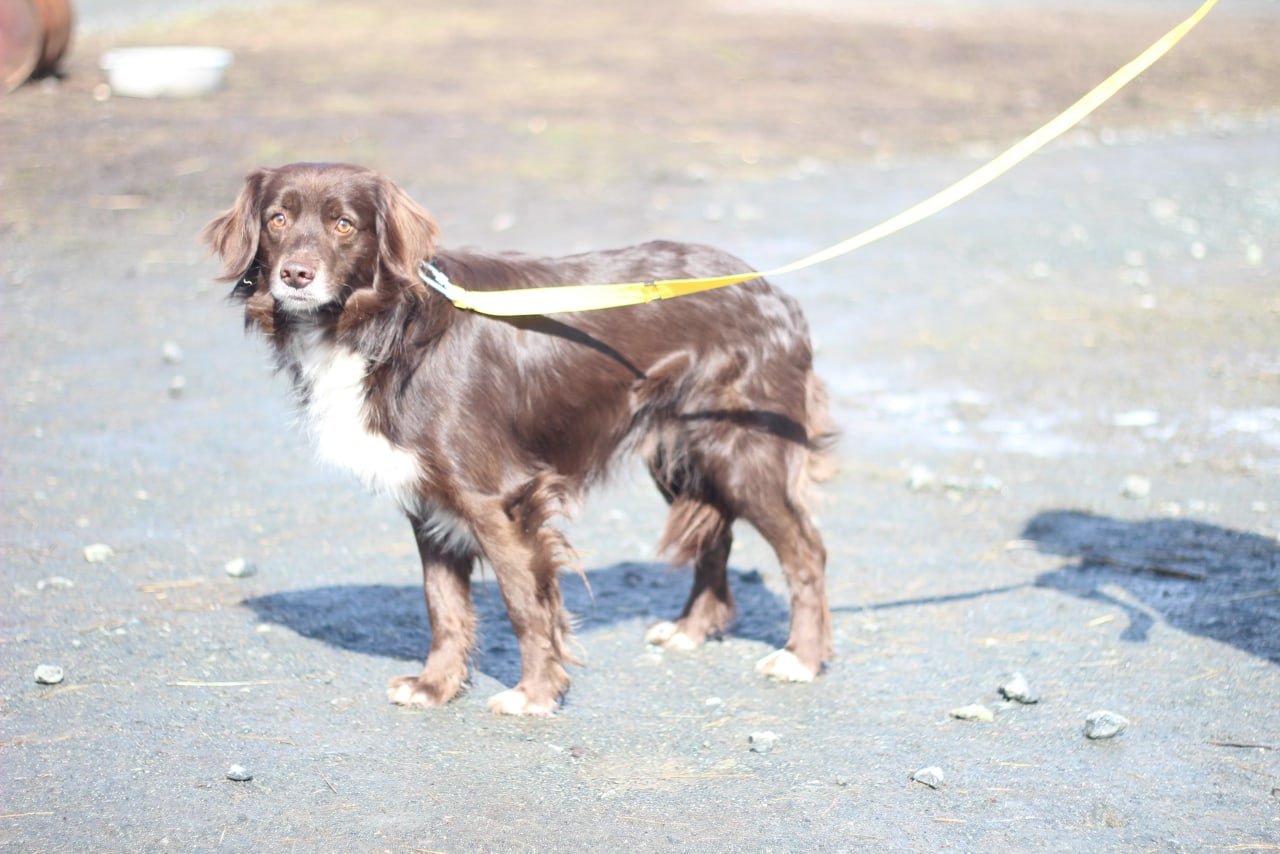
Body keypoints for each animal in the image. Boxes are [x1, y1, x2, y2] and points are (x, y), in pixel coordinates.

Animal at [204, 160, 834, 717]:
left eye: (344, 224)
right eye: (278, 219)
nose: (296, 275)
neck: (385, 328)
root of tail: (772, 291)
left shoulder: (498, 498)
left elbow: (524, 603)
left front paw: (536, 694)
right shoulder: (428, 501)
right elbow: (443, 606)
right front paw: (436, 687)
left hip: (743, 451)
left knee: (806, 551)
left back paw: (801, 658)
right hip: (681, 454)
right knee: (717, 535)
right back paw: (693, 629)